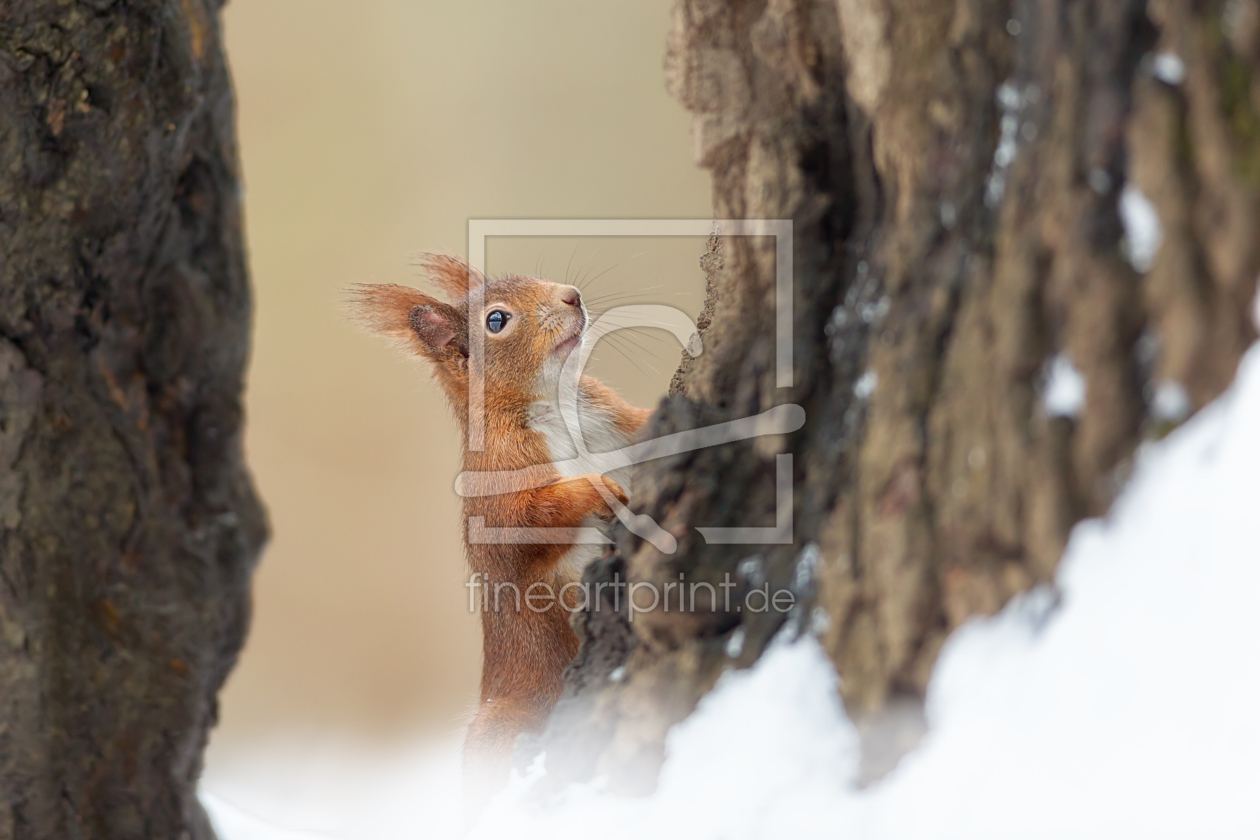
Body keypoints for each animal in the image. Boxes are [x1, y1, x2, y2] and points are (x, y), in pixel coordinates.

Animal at [352, 253, 650, 811]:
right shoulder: (495, 482)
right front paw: (595, 490)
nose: (572, 295)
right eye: (496, 321)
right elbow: (525, 523)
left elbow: (649, 424)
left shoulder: (610, 418)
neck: (555, 406)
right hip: (506, 720)